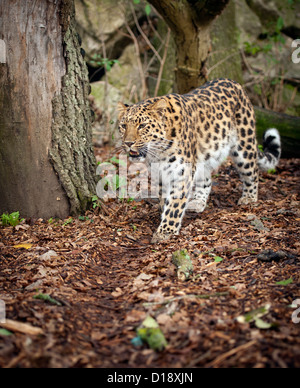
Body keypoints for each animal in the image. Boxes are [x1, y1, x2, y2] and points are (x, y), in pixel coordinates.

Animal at [117, 78, 282, 242]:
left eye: (142, 125)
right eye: (123, 126)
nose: (128, 143)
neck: (158, 153)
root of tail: (234, 82)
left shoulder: (181, 172)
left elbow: (175, 203)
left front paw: (166, 231)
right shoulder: (160, 172)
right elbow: (164, 198)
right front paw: (164, 216)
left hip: (244, 145)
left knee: (252, 171)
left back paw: (249, 197)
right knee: (206, 179)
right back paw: (198, 202)